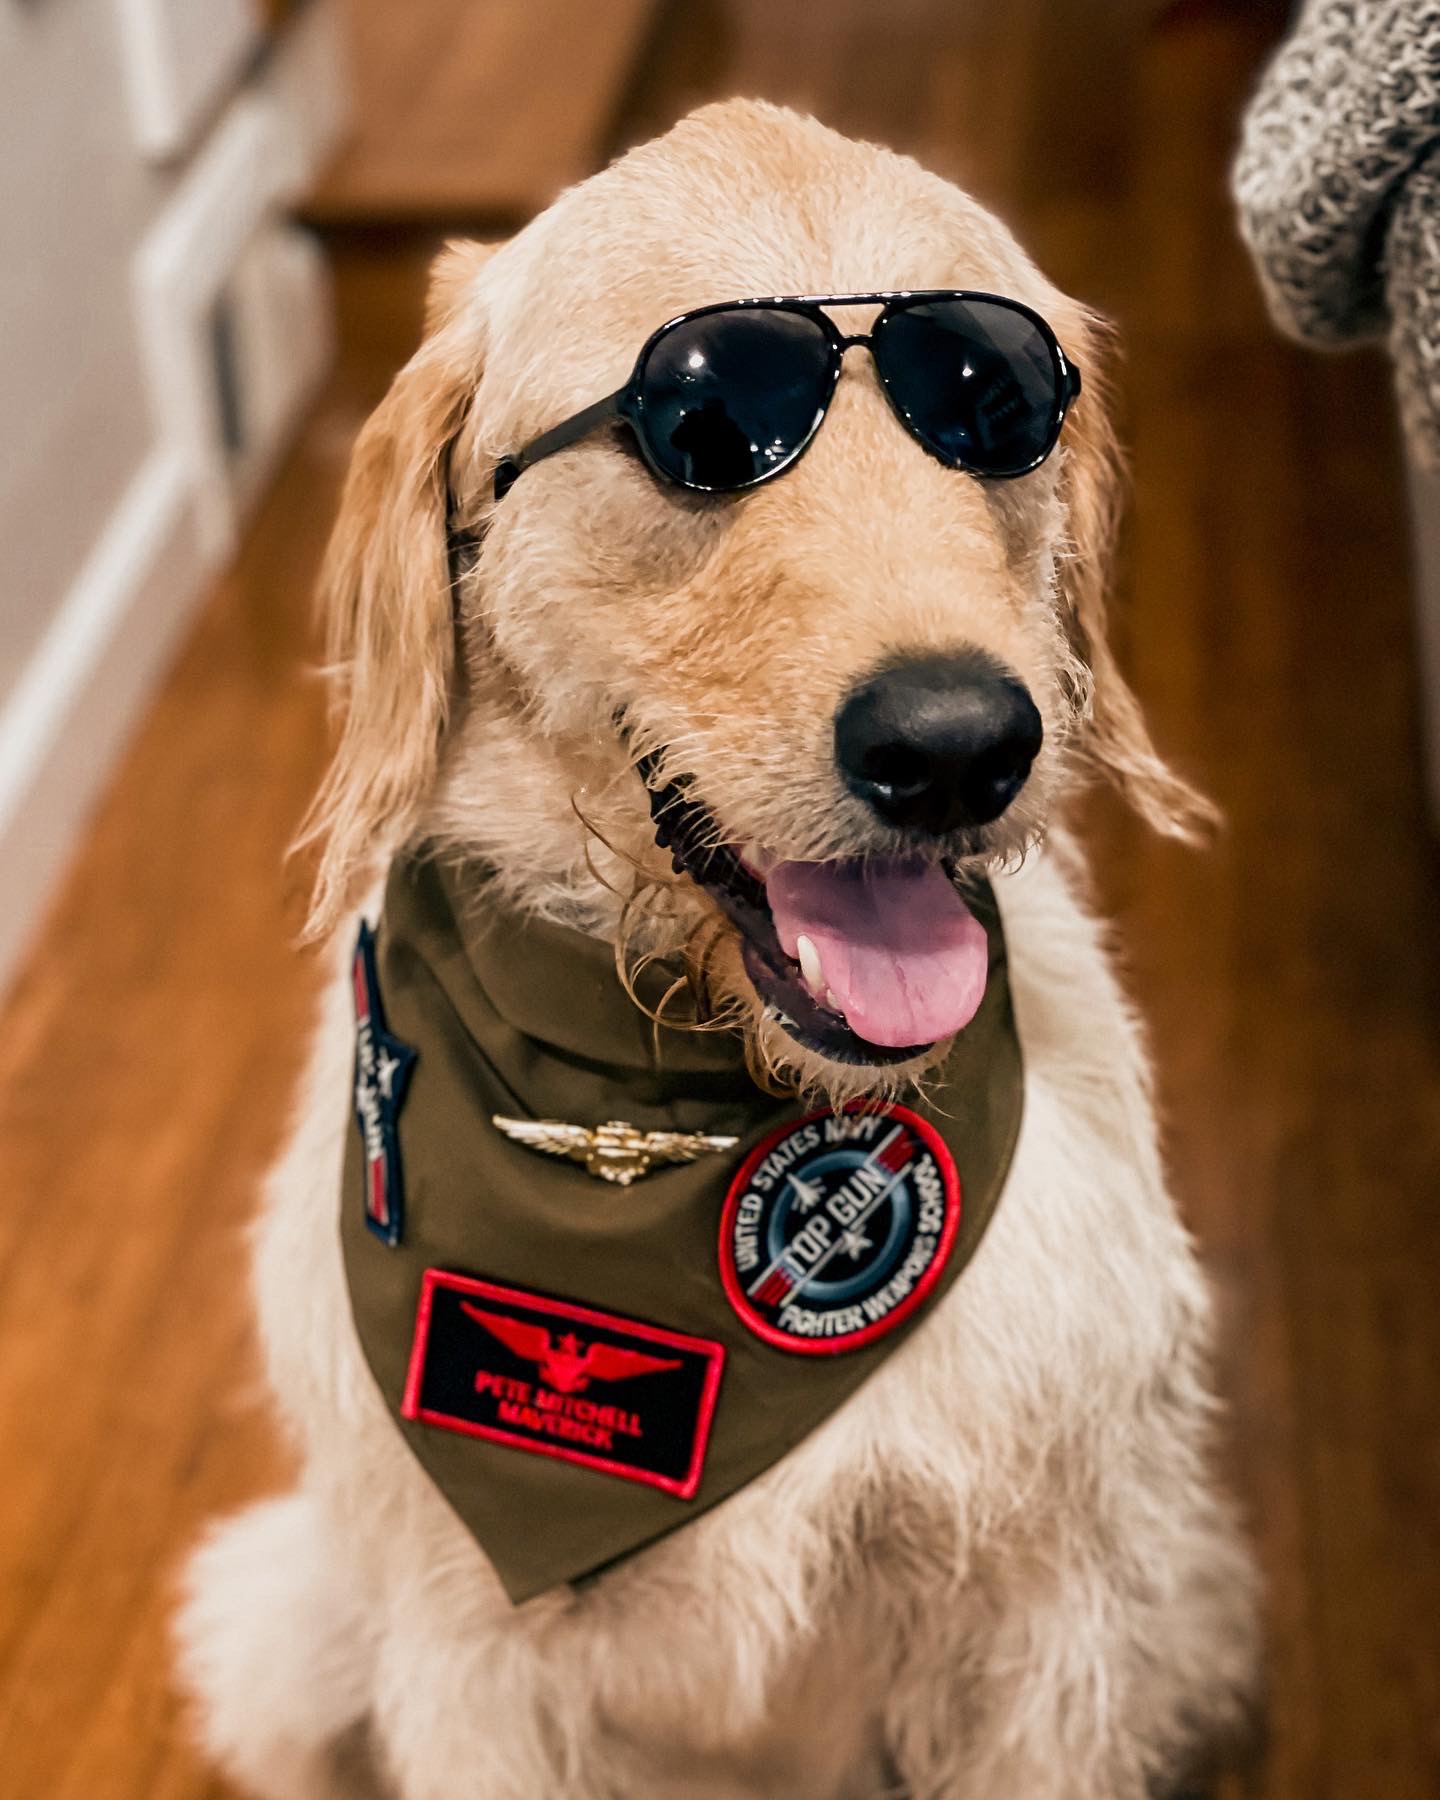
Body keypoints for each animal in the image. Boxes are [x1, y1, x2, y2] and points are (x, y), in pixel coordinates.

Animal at [174, 102, 1260, 1800]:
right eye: (700, 424)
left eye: (993, 408)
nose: (958, 746)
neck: (662, 1117)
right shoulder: (472, 1667)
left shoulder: (1049, 1631)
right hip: (283, 1639)